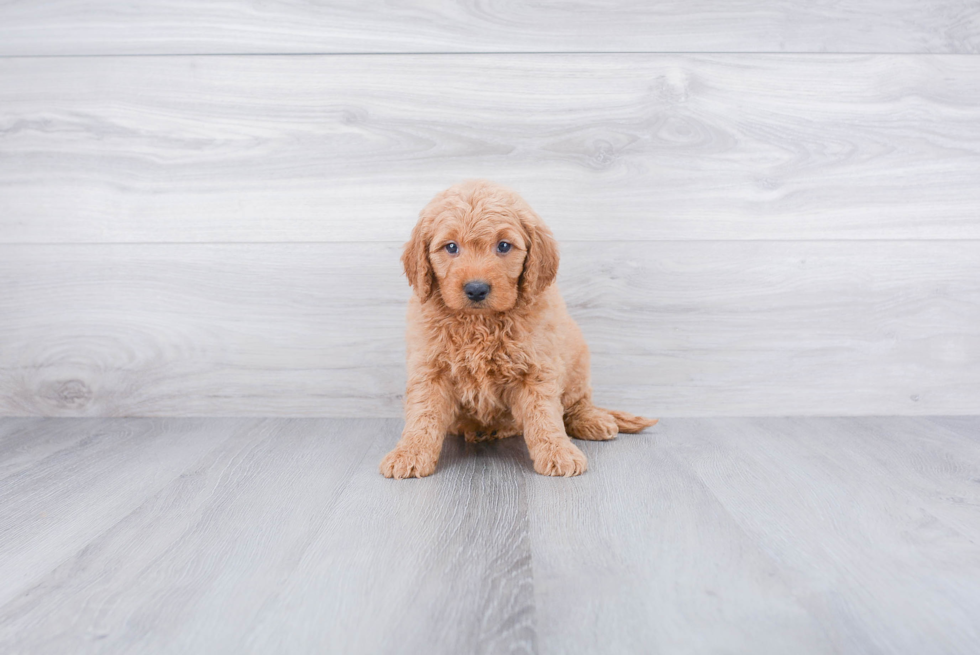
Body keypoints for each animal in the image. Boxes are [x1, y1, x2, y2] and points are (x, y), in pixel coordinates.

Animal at [378, 182, 656, 480]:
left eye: (503, 246)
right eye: (451, 247)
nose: (476, 289)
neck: (480, 322)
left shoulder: (537, 367)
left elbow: (544, 415)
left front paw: (558, 452)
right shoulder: (429, 368)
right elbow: (423, 414)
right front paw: (409, 453)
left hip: (578, 361)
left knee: (576, 404)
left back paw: (591, 420)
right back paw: (478, 428)